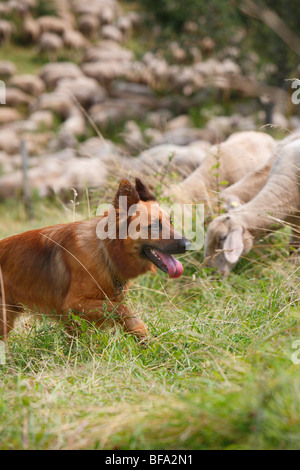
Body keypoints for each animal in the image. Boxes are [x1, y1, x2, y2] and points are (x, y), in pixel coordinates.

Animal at [0, 179, 190, 342]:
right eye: (155, 226)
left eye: (171, 222)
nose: (187, 244)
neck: (105, 252)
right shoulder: (74, 303)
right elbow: (121, 309)